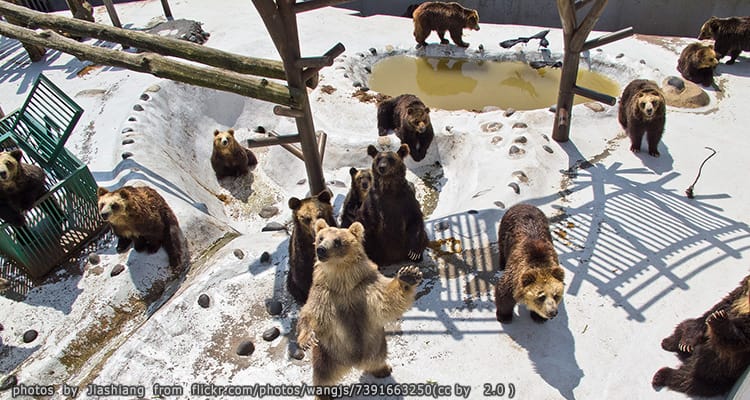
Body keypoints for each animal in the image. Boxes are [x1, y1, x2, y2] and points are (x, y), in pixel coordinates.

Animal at [297, 219, 422, 398]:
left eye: (337, 241)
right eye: (320, 237)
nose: (321, 249)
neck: (343, 281)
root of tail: (352, 363)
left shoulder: (365, 285)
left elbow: (386, 299)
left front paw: (408, 275)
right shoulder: (323, 293)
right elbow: (311, 314)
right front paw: (307, 340)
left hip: (375, 346)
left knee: (376, 359)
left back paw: (383, 369)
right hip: (327, 355)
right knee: (322, 376)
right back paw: (323, 394)